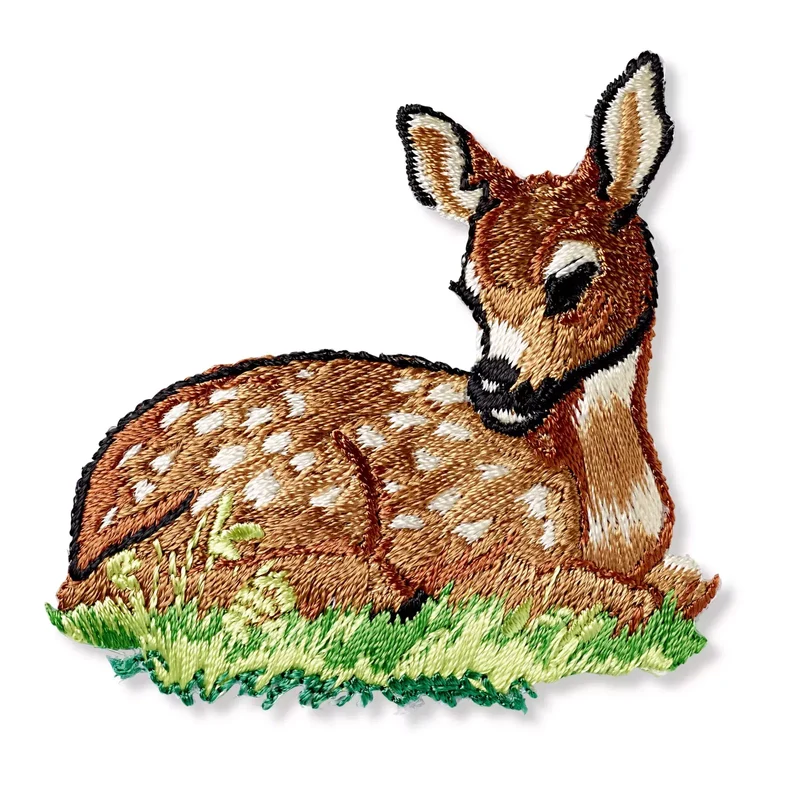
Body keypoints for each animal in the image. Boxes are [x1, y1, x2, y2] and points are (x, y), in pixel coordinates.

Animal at [56, 52, 717, 633]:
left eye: (573, 277)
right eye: (468, 291)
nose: (494, 387)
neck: (611, 521)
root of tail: (84, 537)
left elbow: (689, 582)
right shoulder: (476, 547)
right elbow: (630, 598)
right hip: (294, 487)